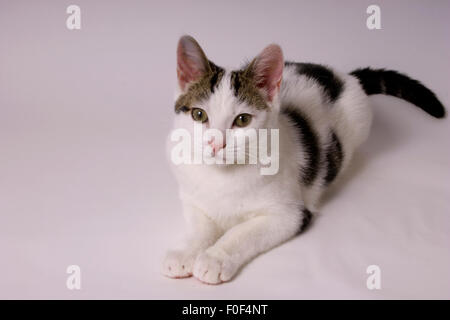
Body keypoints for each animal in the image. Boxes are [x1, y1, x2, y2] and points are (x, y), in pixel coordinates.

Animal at [163, 35, 446, 284]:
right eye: (199, 115)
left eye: (242, 120)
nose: (216, 143)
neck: (222, 176)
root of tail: (342, 76)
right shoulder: (191, 198)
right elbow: (200, 227)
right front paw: (186, 252)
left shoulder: (291, 215)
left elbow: (242, 232)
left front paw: (215, 259)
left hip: (361, 121)